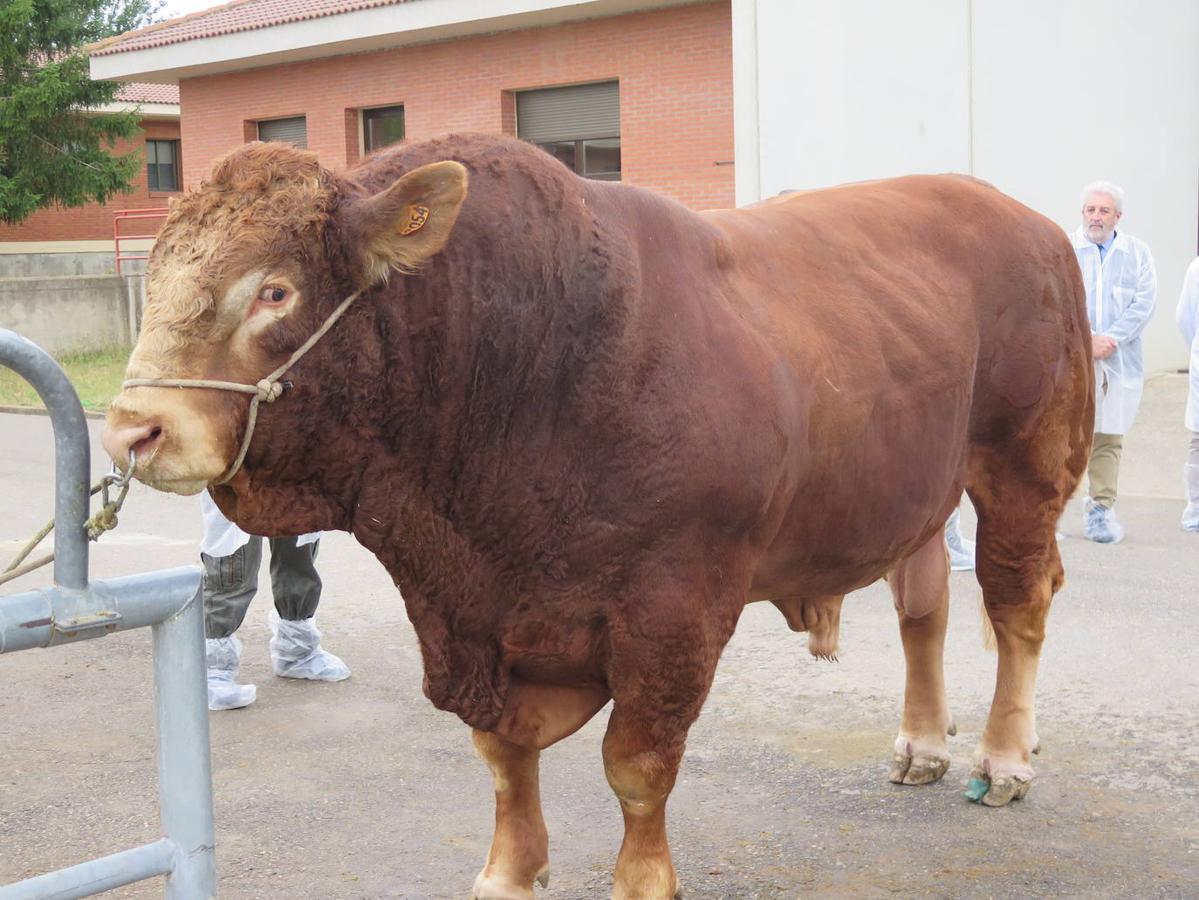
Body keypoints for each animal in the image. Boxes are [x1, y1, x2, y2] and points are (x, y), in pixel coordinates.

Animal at [105, 133, 1098, 900]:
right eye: (157, 278)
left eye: (273, 290)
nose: (132, 429)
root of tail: (1030, 223)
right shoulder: (483, 621)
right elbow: (503, 756)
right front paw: (508, 872)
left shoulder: (672, 612)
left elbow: (637, 764)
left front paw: (642, 879)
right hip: (914, 488)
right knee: (923, 606)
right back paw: (922, 744)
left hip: (1023, 465)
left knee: (1017, 606)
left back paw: (1003, 759)